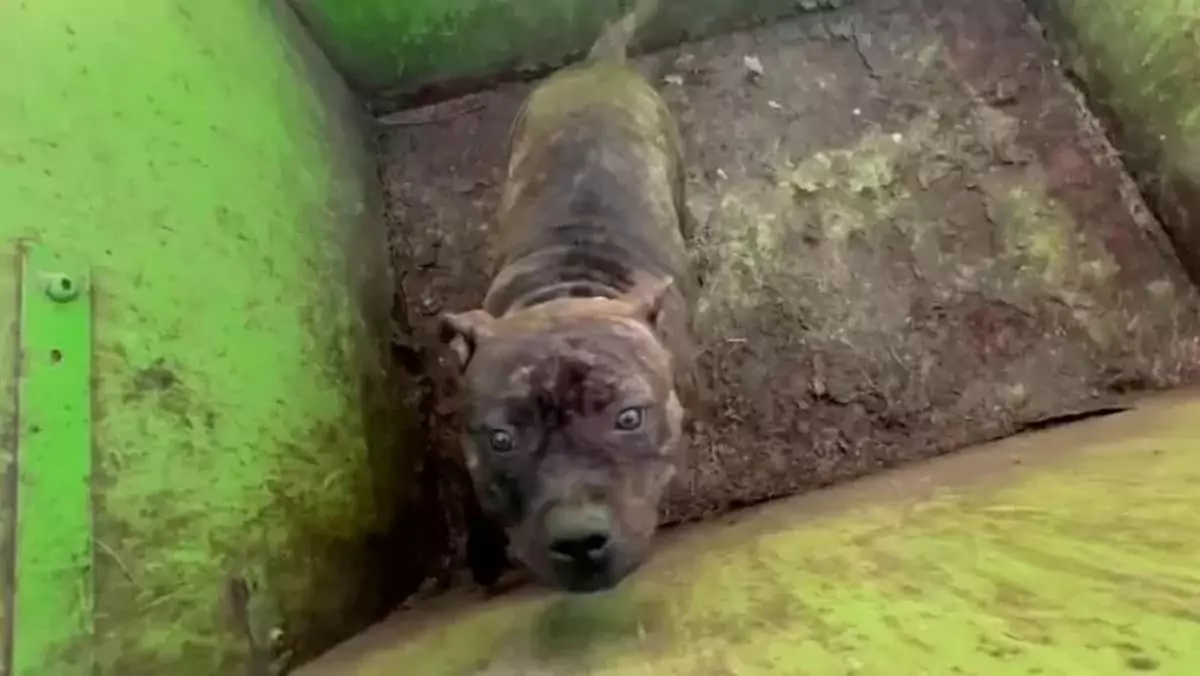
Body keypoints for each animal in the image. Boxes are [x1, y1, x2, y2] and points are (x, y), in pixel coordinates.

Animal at [439, 0, 696, 593]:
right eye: (501, 439)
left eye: (630, 418)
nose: (579, 539)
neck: (569, 286)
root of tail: (599, 66)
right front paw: (483, 556)